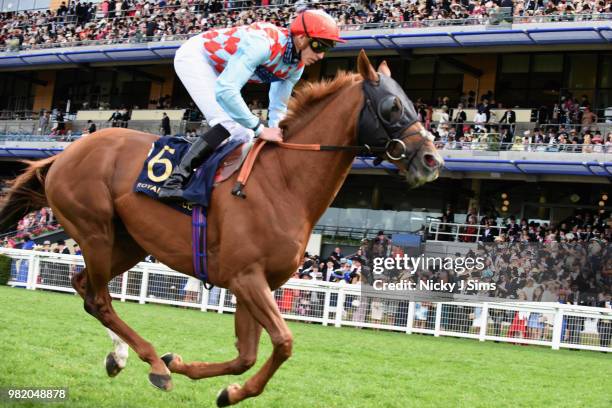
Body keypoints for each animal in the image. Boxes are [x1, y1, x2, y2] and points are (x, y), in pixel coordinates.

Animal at [0, 51, 440, 404]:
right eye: (392, 106)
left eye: (414, 105)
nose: (431, 160)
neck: (284, 183)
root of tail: (63, 155)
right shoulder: (246, 277)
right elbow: (283, 342)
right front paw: (193, 374)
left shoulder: (255, 283)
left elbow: (246, 355)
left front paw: (206, 378)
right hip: (95, 231)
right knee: (100, 299)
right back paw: (152, 363)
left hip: (127, 243)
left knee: (85, 288)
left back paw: (122, 356)